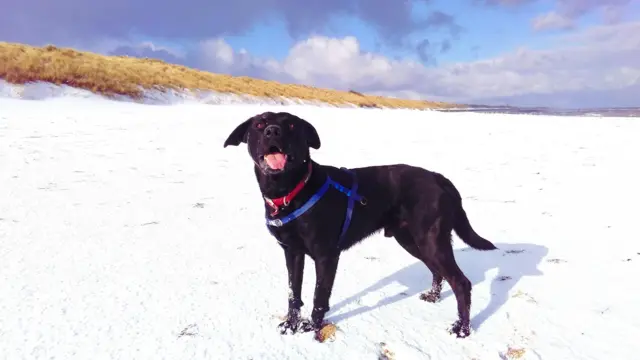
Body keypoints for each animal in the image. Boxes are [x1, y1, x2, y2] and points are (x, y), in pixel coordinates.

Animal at [222, 109, 498, 338]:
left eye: (290, 124)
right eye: (259, 124)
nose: (272, 131)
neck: (290, 190)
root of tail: (439, 177)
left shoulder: (326, 256)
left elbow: (319, 295)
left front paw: (312, 327)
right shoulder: (292, 252)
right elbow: (294, 294)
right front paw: (291, 324)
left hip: (431, 240)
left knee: (461, 282)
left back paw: (462, 328)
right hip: (412, 241)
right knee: (437, 271)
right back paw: (433, 296)